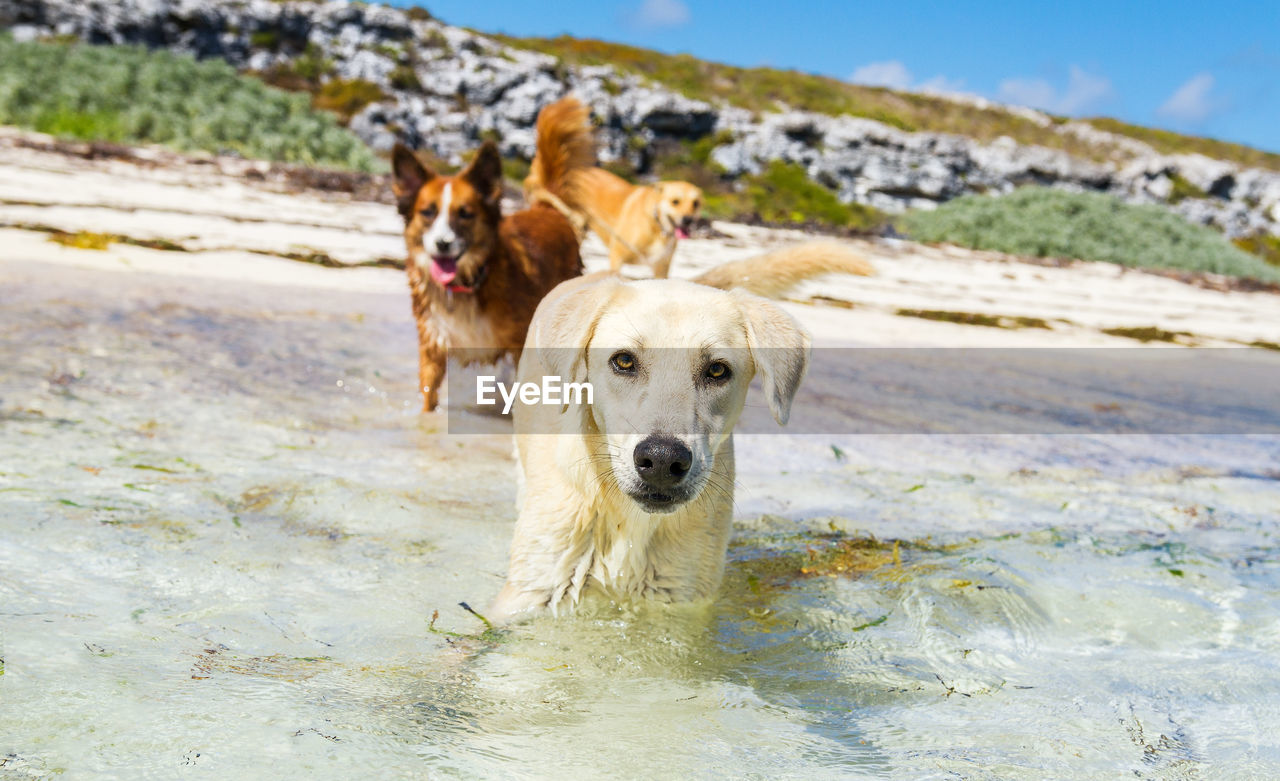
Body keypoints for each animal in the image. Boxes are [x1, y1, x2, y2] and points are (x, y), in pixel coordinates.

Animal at [488, 270, 808, 622]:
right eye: (624, 361)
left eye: (717, 370)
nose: (662, 460)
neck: (630, 521)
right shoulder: (529, 598)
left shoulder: (681, 604)